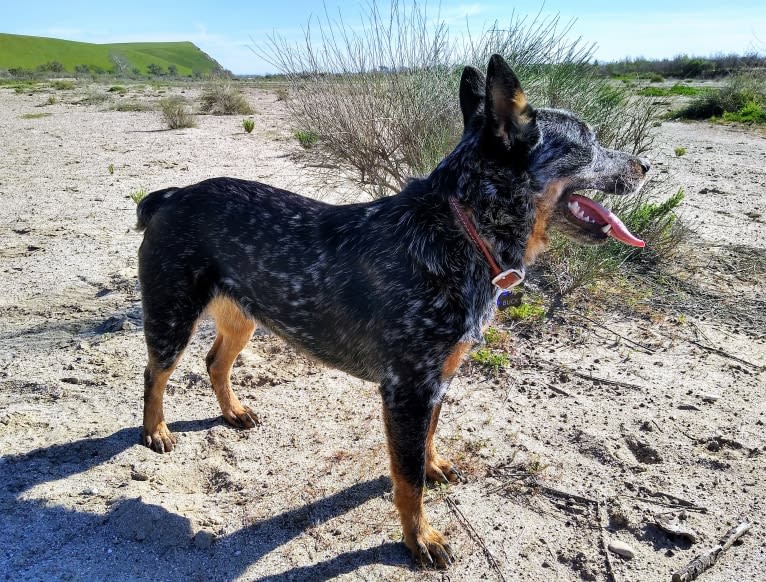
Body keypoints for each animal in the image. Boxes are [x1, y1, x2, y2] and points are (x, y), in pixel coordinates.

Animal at [136, 56, 648, 572]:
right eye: (588, 141)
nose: (646, 165)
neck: (462, 230)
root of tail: (172, 195)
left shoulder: (437, 381)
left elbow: (427, 443)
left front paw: (433, 465)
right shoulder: (407, 392)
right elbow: (407, 480)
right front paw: (418, 537)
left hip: (244, 317)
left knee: (214, 362)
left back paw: (233, 411)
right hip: (171, 318)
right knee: (155, 374)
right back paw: (155, 430)